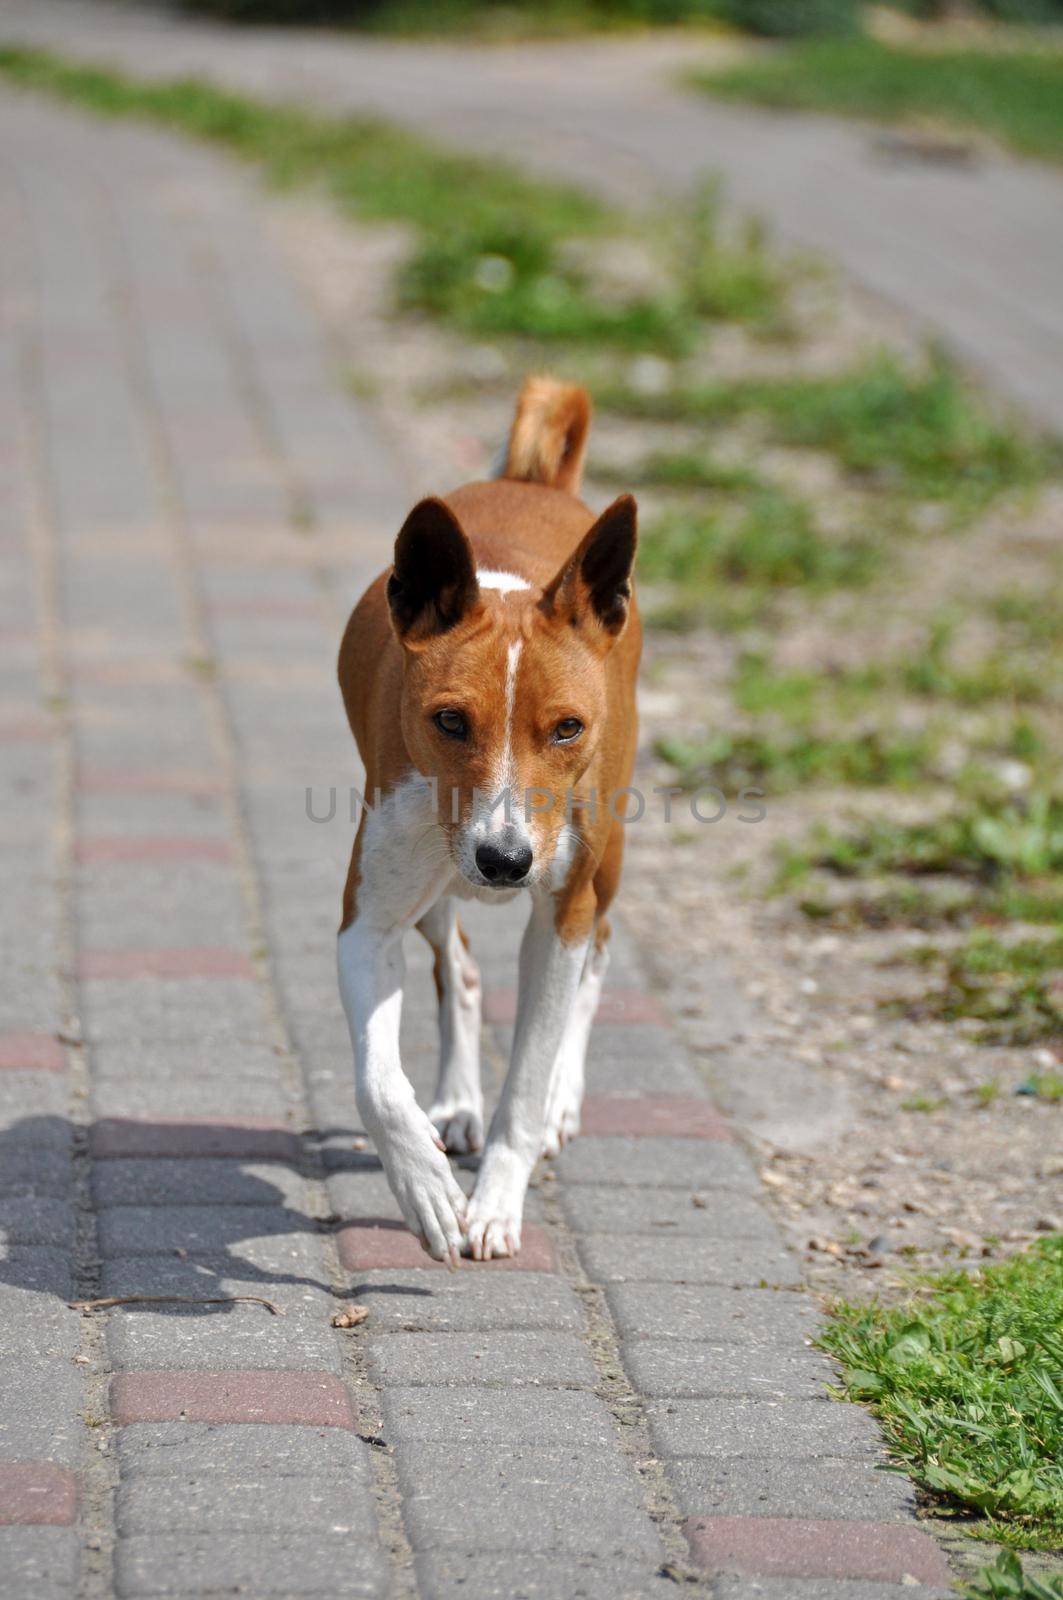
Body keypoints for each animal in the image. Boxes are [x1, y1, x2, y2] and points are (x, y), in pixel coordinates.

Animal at [337, 374, 640, 1260]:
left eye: (566, 728)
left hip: (606, 859)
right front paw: (426, 1186)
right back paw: (456, 1104)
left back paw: (566, 1098)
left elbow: (527, 1086)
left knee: (600, 949)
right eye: (448, 721)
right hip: (431, 892)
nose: (504, 864)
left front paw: (498, 1201)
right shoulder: (366, 923)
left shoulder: (559, 916)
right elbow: (378, 1083)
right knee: (460, 970)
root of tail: (533, 481)